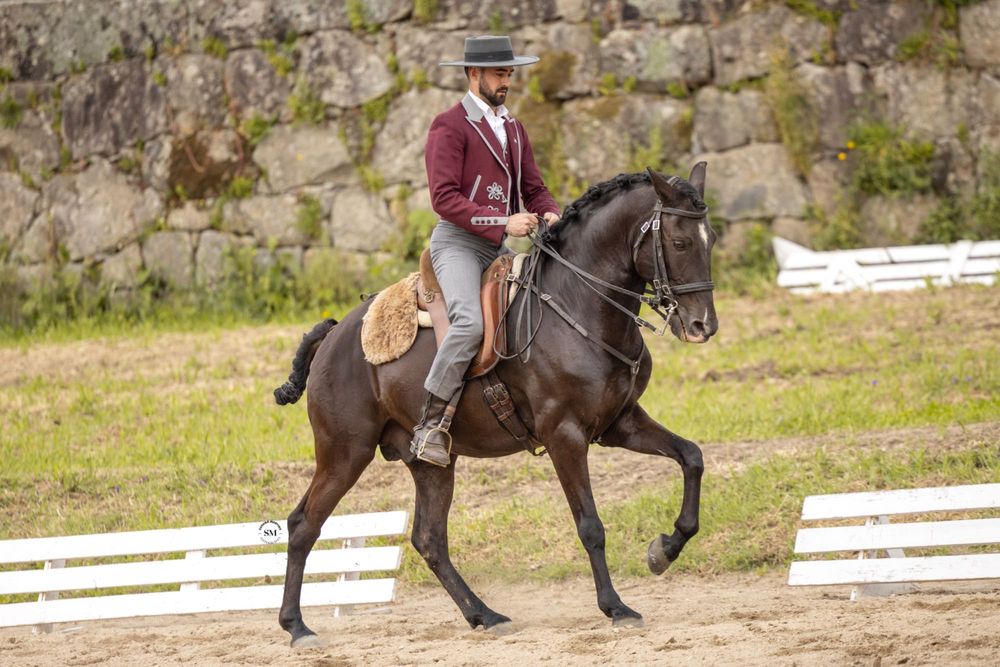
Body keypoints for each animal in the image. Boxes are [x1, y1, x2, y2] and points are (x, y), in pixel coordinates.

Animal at [273, 164, 718, 647]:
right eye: (679, 242)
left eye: (710, 238)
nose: (702, 326)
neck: (580, 304)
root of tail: (335, 335)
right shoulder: (564, 436)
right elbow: (590, 525)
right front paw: (615, 607)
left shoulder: (620, 423)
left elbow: (691, 457)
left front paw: (664, 550)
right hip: (345, 453)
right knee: (303, 525)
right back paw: (298, 627)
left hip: (430, 462)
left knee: (429, 539)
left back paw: (483, 614)